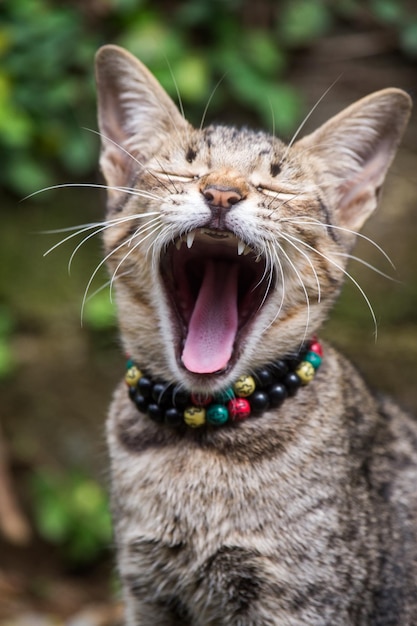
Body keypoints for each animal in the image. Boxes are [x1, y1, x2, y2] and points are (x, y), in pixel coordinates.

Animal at [92, 45, 414, 624]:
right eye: (184, 168)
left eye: (277, 183)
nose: (221, 192)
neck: (199, 441)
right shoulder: (147, 593)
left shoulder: (297, 602)